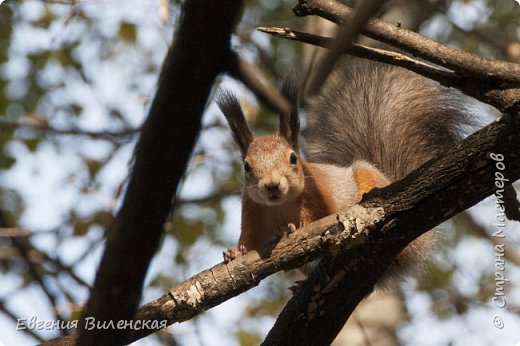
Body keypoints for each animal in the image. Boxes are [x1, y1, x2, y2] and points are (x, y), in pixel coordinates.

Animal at [215, 57, 472, 284]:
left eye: (293, 158)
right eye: (247, 166)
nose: (272, 185)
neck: (280, 206)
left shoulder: (317, 194)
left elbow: (320, 221)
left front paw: (294, 228)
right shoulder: (253, 211)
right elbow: (250, 241)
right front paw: (235, 252)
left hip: (368, 177)